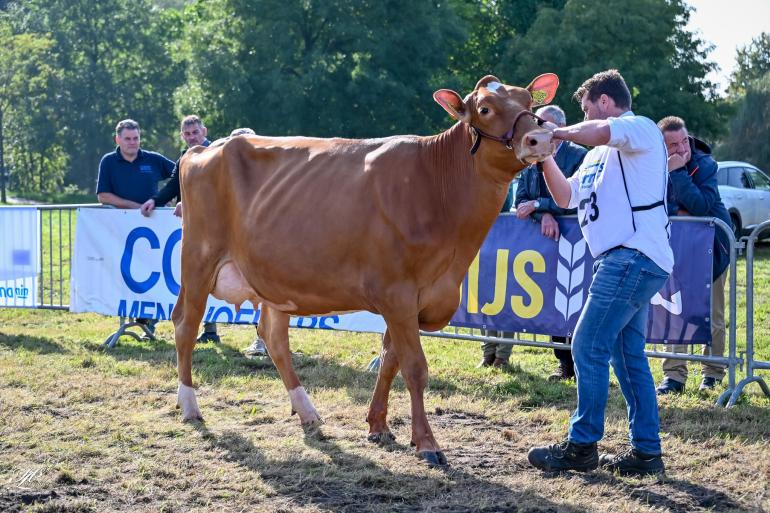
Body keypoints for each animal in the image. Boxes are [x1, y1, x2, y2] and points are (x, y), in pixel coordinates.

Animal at [174, 75, 560, 464]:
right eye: (484, 108)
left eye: (529, 101)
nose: (540, 138)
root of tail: (203, 149)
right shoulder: (397, 293)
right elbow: (414, 368)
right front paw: (427, 443)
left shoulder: (412, 300)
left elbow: (390, 361)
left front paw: (378, 426)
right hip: (199, 259)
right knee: (185, 325)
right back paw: (190, 406)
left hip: (273, 278)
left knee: (273, 337)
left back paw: (307, 412)